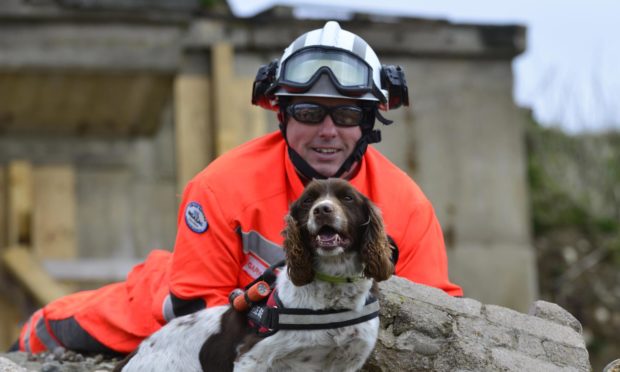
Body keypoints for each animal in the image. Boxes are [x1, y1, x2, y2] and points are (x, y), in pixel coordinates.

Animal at [117, 179, 392, 370]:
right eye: (307, 201)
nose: (321, 210)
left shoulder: (348, 360)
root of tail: (135, 353)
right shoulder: (252, 357)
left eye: (347, 197)